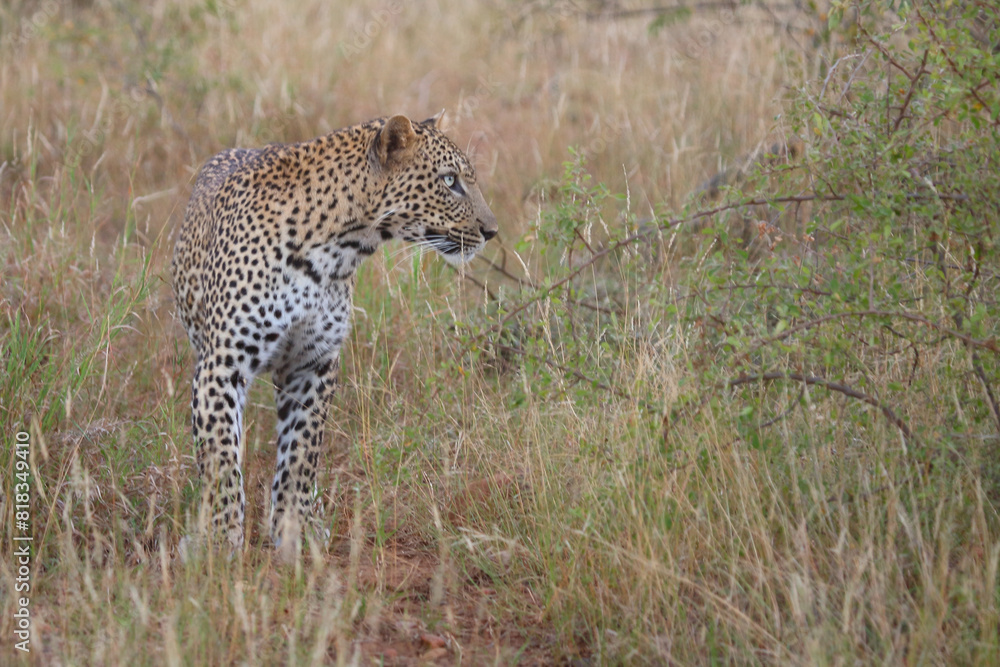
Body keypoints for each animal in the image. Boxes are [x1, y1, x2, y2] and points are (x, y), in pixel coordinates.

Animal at [170, 112, 497, 555]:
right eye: (449, 181)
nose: (491, 230)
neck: (337, 250)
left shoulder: (312, 366)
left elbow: (301, 454)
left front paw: (295, 530)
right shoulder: (222, 365)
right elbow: (221, 458)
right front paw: (219, 540)